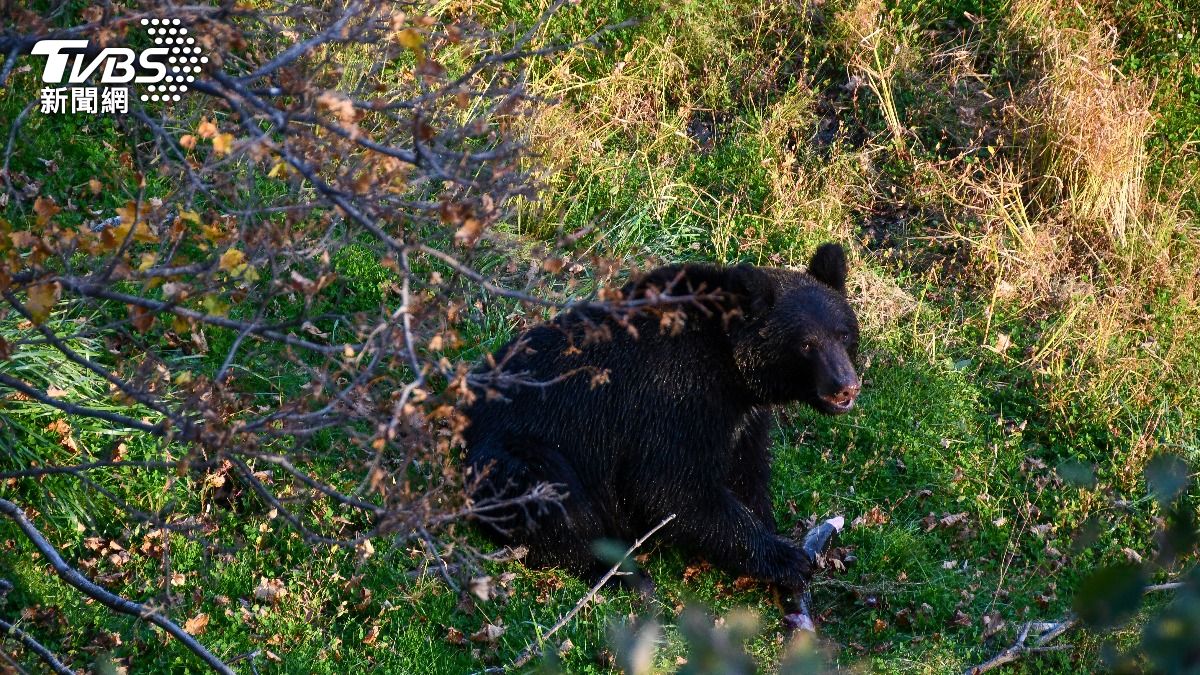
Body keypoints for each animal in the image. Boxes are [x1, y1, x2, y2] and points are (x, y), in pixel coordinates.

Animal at [462, 243, 860, 598]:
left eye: (843, 334)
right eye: (806, 344)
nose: (846, 385)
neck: (731, 370)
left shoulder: (741, 419)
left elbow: (746, 471)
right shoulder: (673, 396)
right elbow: (667, 486)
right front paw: (787, 558)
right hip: (514, 452)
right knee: (554, 499)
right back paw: (621, 575)